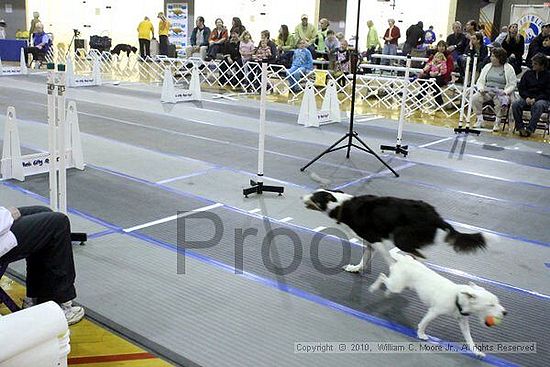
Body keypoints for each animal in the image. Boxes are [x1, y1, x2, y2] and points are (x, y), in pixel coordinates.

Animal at [370, 246, 508, 358]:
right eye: (490, 305)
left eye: (498, 302)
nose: (505, 312)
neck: (458, 297)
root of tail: (406, 259)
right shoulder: (433, 312)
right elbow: (423, 324)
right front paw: (421, 334)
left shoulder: (463, 323)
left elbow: (470, 339)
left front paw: (476, 352)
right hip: (396, 285)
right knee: (382, 276)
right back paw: (373, 287)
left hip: (400, 285)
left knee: (388, 282)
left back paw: (387, 293)